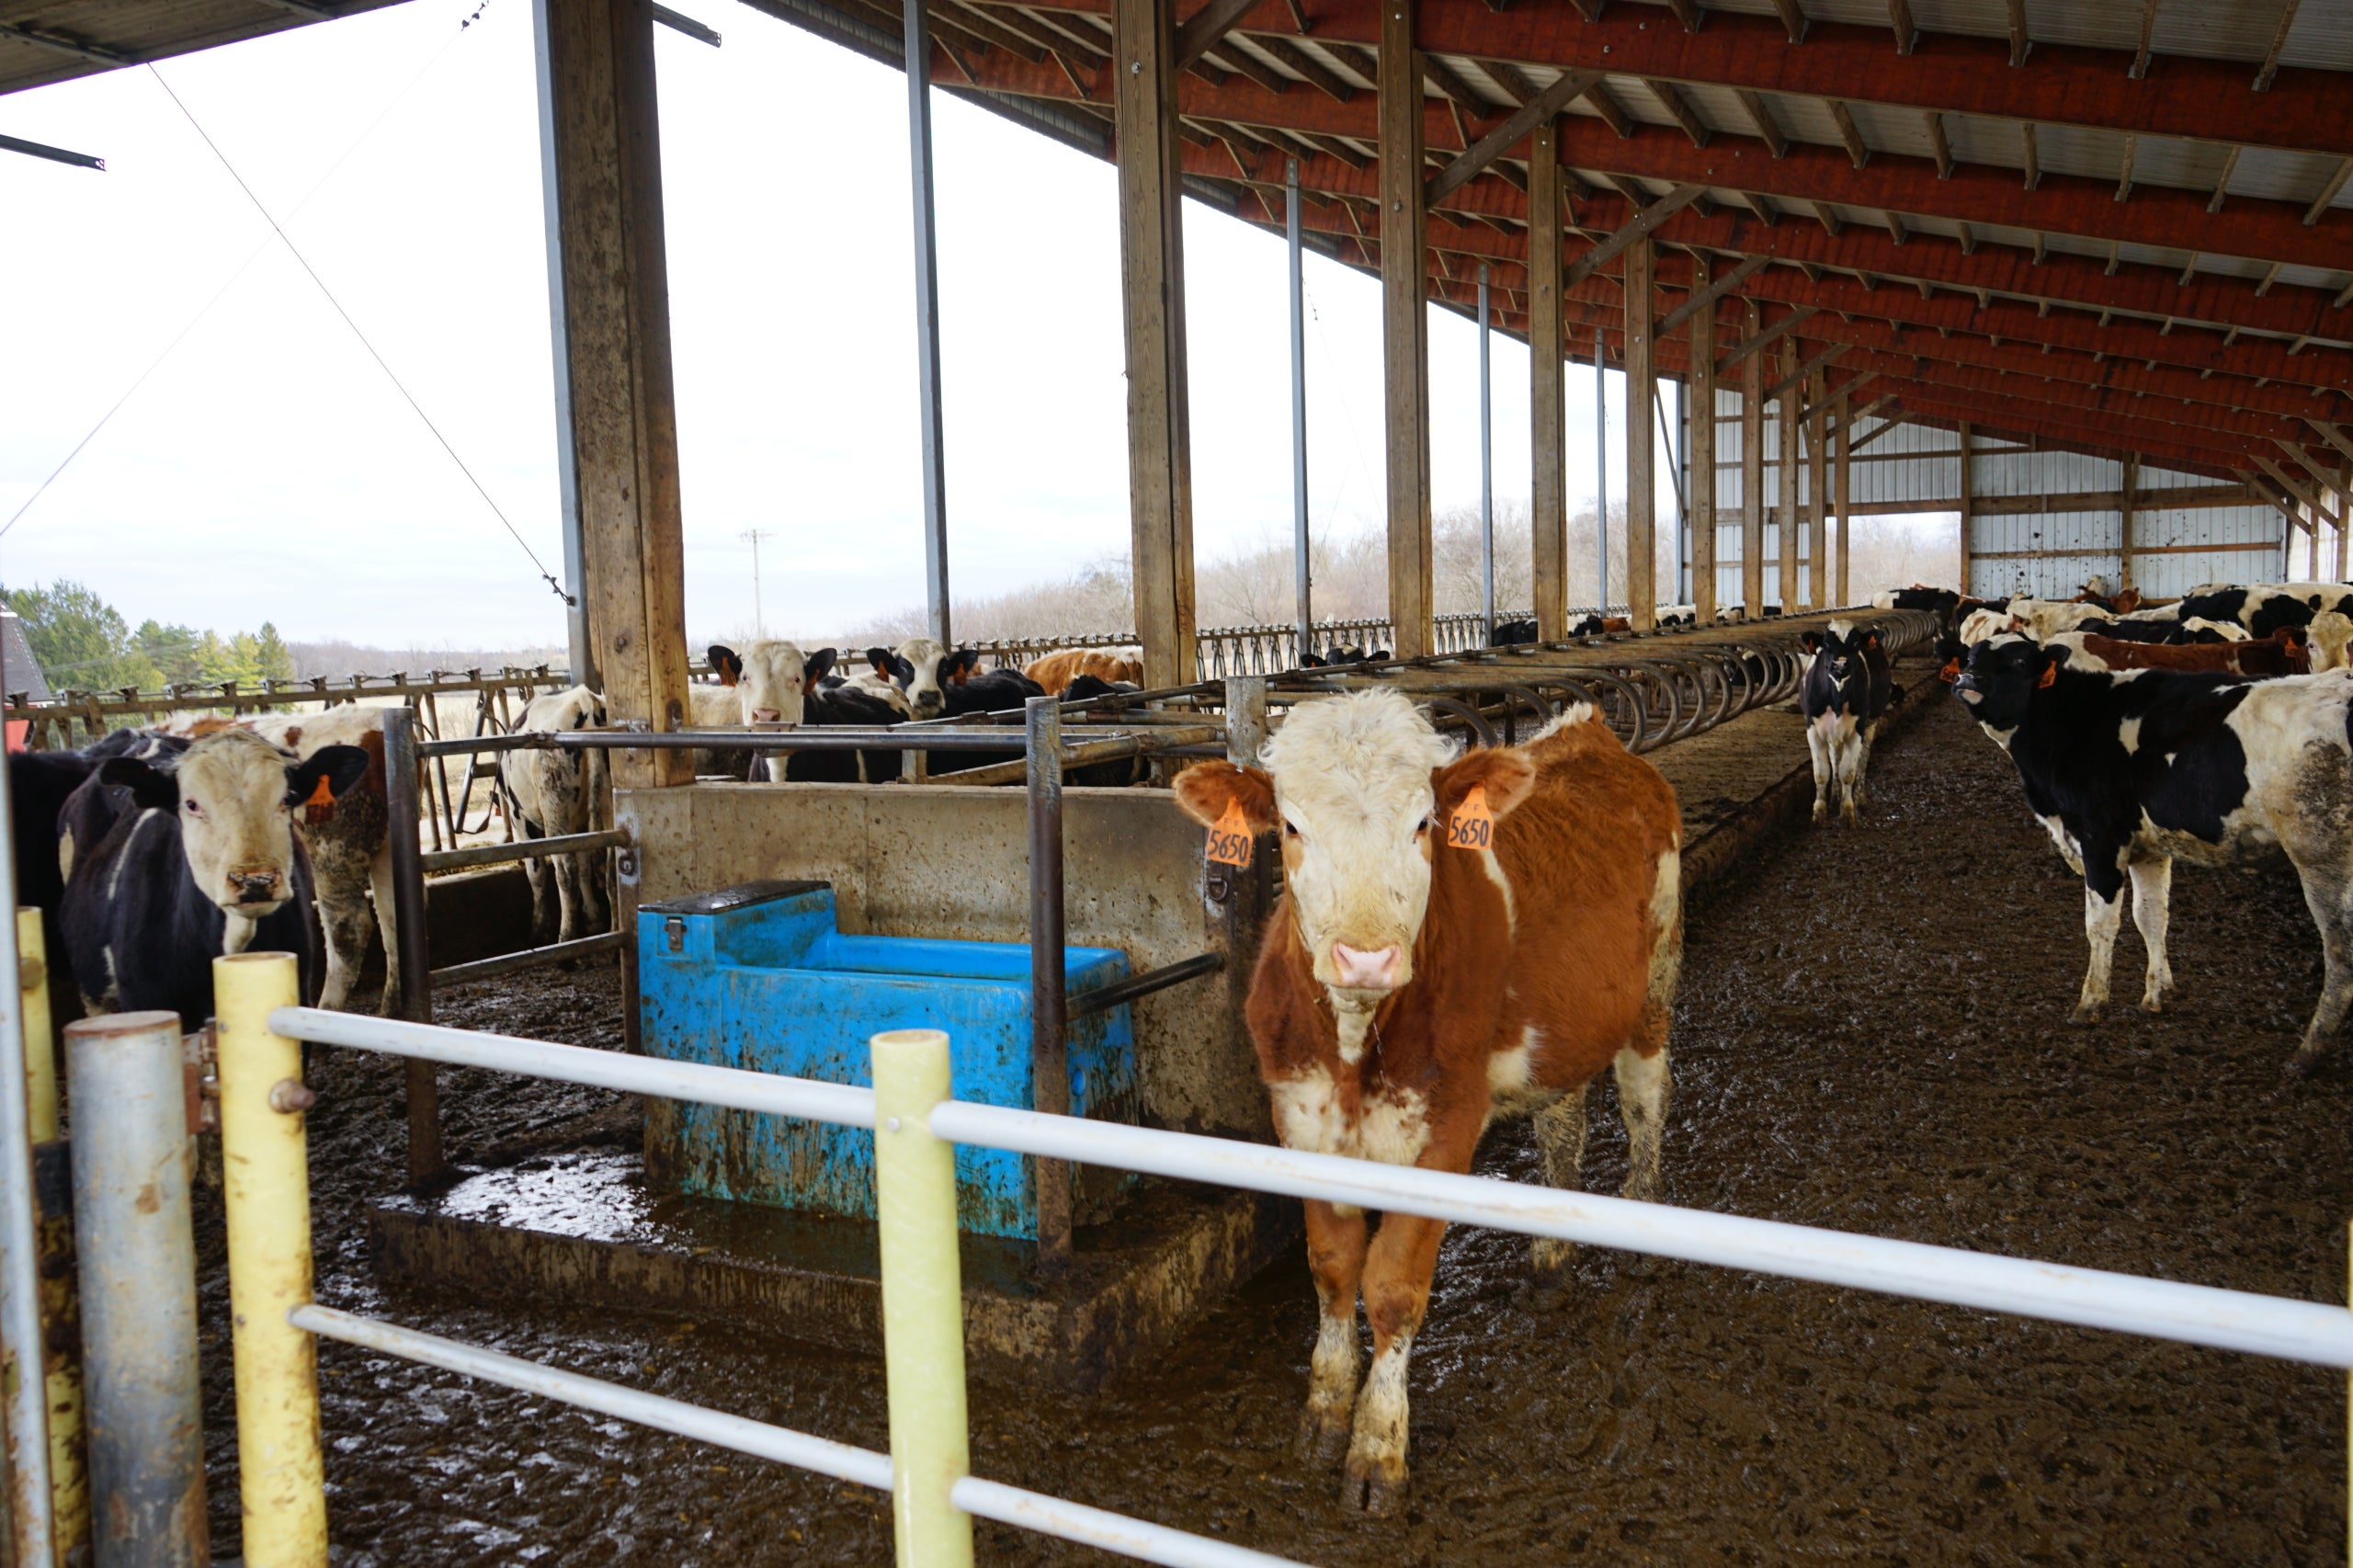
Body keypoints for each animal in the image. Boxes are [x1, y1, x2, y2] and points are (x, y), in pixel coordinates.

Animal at [498, 686, 611, 946]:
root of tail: (584, 698)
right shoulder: (579, 824)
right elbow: (585, 865)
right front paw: (593, 918)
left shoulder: (520, 820)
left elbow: (536, 872)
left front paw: (539, 929)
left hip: (554, 806)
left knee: (566, 872)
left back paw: (566, 938)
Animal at [1171, 690, 1682, 1513]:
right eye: (1291, 827)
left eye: (1423, 823)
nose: (1365, 957)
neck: (1355, 1045)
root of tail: (1586, 731)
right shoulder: (1301, 1122)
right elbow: (1333, 1271)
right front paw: (1323, 1413)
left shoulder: (1444, 1134)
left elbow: (1392, 1289)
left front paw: (1378, 1448)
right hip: (1565, 1022)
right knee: (1562, 1118)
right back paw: (1550, 1254)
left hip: (1658, 975)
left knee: (1645, 1098)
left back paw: (1641, 1219)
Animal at [1798, 621, 1894, 825]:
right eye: (1826, 644)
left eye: (1856, 644)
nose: (1841, 664)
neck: (1837, 698)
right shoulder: (1813, 729)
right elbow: (1821, 773)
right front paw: (1819, 812)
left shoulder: (1857, 729)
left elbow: (1848, 772)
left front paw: (1848, 812)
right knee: (1835, 758)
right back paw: (1834, 797)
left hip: (1870, 724)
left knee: (1863, 759)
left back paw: (1859, 799)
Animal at [1949, 634, 2353, 1073]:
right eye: (1971, 656)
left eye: (2021, 660)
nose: (1968, 679)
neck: (2074, 721)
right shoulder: (2149, 848)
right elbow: (2151, 917)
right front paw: (2157, 994)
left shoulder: (2101, 840)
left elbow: (2100, 924)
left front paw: (2091, 1003)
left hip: (2322, 859)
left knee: (2339, 951)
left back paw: (2309, 1051)